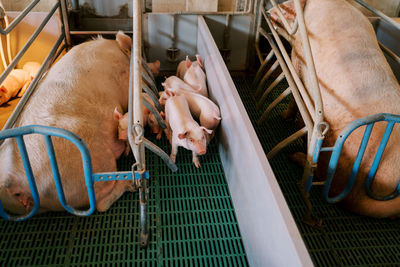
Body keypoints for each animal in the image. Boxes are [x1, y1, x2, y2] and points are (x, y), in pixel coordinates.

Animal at [270, 0, 400, 218]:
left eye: (287, 7)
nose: (270, 11)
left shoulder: (298, 55)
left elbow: (296, 93)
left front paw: (283, 116)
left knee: (326, 183)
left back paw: (295, 157)